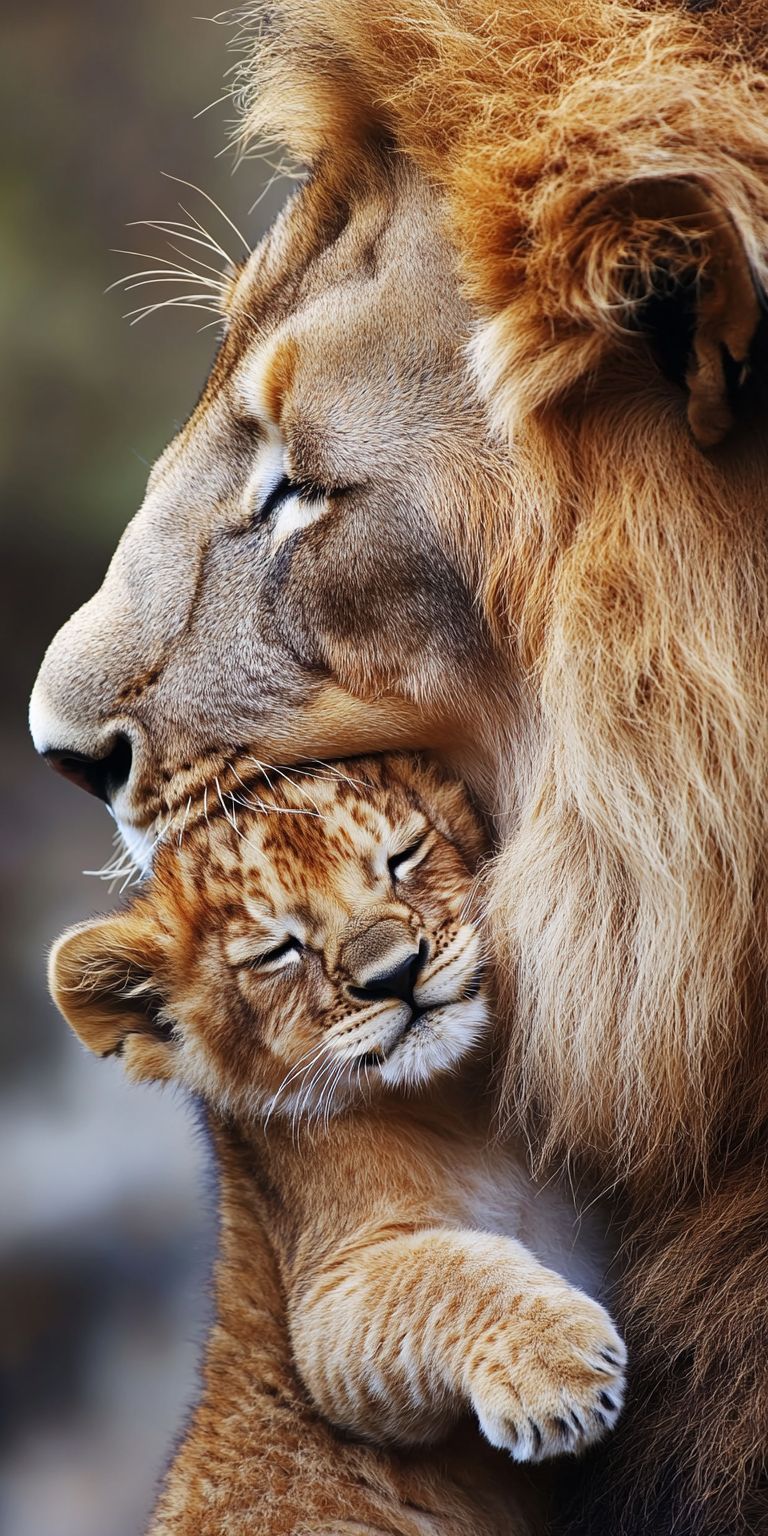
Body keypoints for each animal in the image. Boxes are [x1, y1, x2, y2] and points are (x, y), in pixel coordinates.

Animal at [50, 754, 625, 1532]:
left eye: (403, 858)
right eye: (277, 950)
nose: (397, 973)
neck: (466, 1106)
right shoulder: (326, 1298)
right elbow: (441, 1273)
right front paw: (556, 1367)